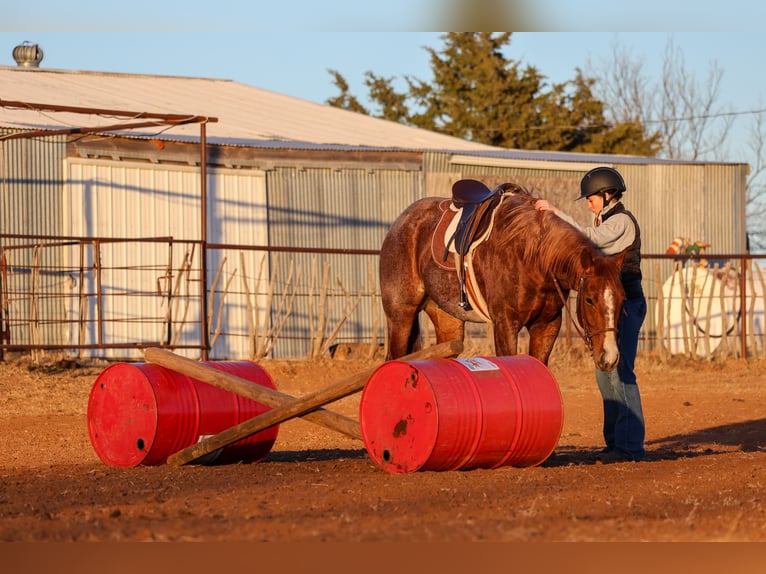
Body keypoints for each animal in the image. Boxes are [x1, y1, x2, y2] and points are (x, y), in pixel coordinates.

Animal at [379, 183, 627, 370]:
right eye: (589, 299)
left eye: (623, 300)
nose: (610, 358)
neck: (532, 256)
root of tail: (402, 221)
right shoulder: (505, 324)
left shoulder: (546, 325)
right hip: (401, 316)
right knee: (394, 357)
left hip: (447, 320)